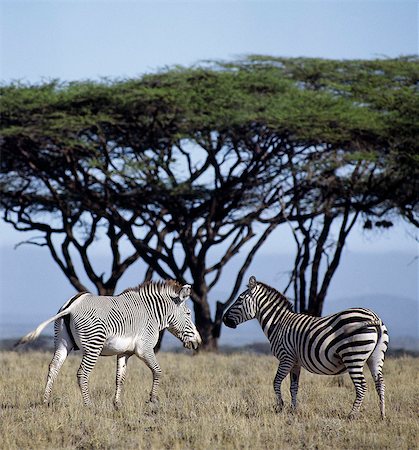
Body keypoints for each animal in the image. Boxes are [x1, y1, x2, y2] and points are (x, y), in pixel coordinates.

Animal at [17, 282, 204, 408]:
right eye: (188, 314)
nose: (199, 342)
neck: (151, 314)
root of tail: (71, 306)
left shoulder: (124, 352)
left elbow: (120, 378)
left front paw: (117, 404)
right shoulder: (145, 349)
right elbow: (157, 371)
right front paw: (153, 399)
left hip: (62, 343)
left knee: (53, 367)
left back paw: (45, 401)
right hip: (94, 345)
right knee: (82, 373)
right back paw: (89, 405)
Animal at [223, 276, 390, 420]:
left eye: (239, 299)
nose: (224, 319)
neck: (278, 323)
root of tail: (374, 317)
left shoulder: (286, 358)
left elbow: (276, 382)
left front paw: (280, 407)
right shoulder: (295, 362)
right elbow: (293, 386)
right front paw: (293, 410)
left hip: (353, 356)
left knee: (361, 386)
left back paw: (352, 415)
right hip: (375, 357)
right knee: (380, 383)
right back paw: (382, 414)